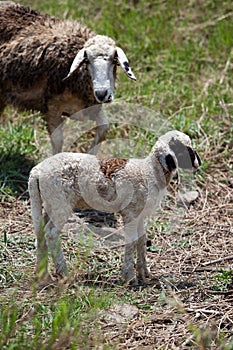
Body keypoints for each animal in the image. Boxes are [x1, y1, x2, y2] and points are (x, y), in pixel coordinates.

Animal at [0, 1, 137, 153]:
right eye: (86, 60)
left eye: (114, 60)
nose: (102, 94)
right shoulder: (51, 106)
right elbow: (58, 140)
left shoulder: (91, 107)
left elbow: (104, 128)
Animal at [28, 131, 201, 284]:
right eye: (182, 149)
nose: (197, 164)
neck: (149, 171)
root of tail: (36, 171)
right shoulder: (130, 212)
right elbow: (132, 240)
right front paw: (130, 276)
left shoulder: (139, 213)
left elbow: (142, 239)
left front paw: (144, 272)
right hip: (60, 202)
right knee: (51, 233)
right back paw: (63, 272)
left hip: (49, 203)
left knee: (40, 233)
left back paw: (43, 274)